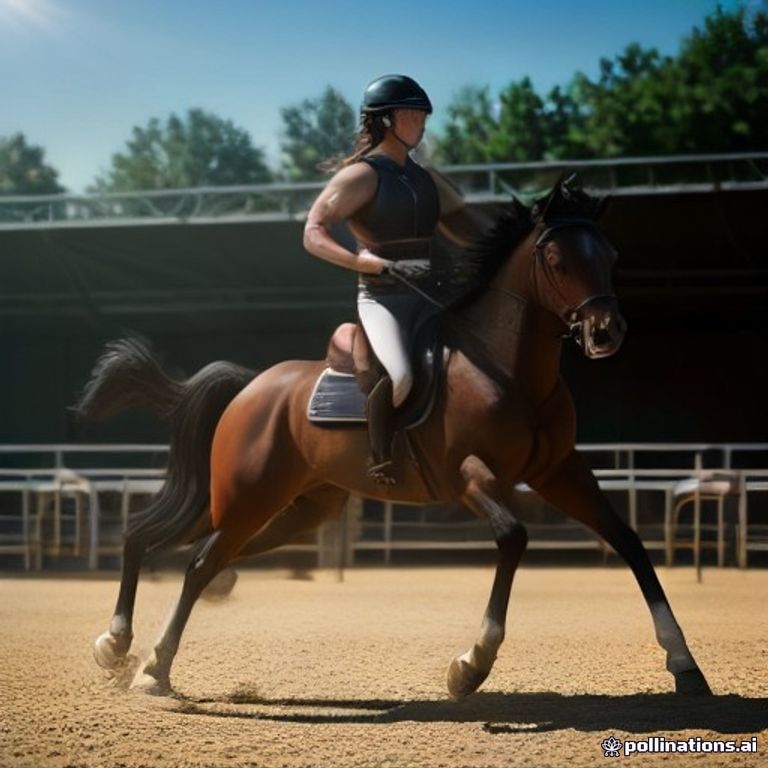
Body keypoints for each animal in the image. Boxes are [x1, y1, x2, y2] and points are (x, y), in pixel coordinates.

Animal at [78, 178, 712, 699]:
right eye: (556, 257)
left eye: (610, 255)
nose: (607, 332)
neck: (509, 371)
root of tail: (253, 384)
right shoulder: (468, 478)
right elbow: (513, 538)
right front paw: (470, 666)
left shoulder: (560, 472)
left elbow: (629, 542)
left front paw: (685, 664)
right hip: (242, 495)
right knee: (181, 554)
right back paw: (146, 665)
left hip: (294, 508)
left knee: (202, 558)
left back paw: (124, 649)